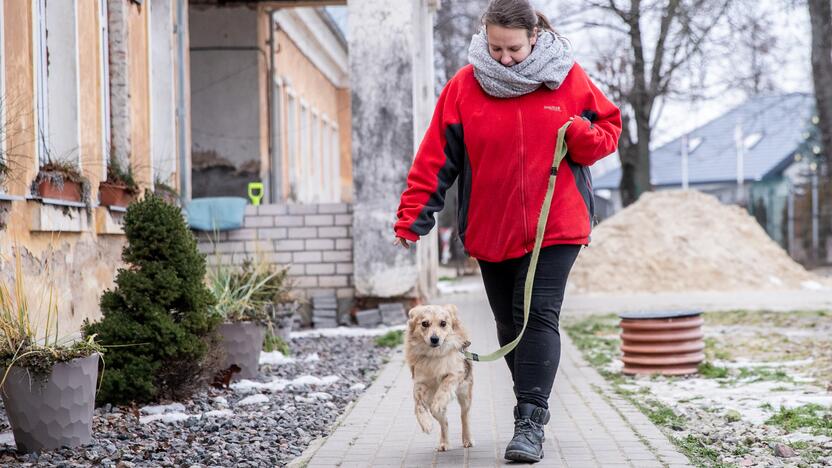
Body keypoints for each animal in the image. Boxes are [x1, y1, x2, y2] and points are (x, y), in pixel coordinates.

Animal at [404, 304, 472, 450]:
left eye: (443, 323)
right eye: (424, 323)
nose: (434, 339)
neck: (434, 354)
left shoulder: (455, 373)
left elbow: (444, 386)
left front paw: (438, 402)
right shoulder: (420, 383)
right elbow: (418, 404)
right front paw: (426, 423)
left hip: (465, 394)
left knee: (464, 416)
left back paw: (467, 439)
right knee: (444, 421)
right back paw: (444, 442)